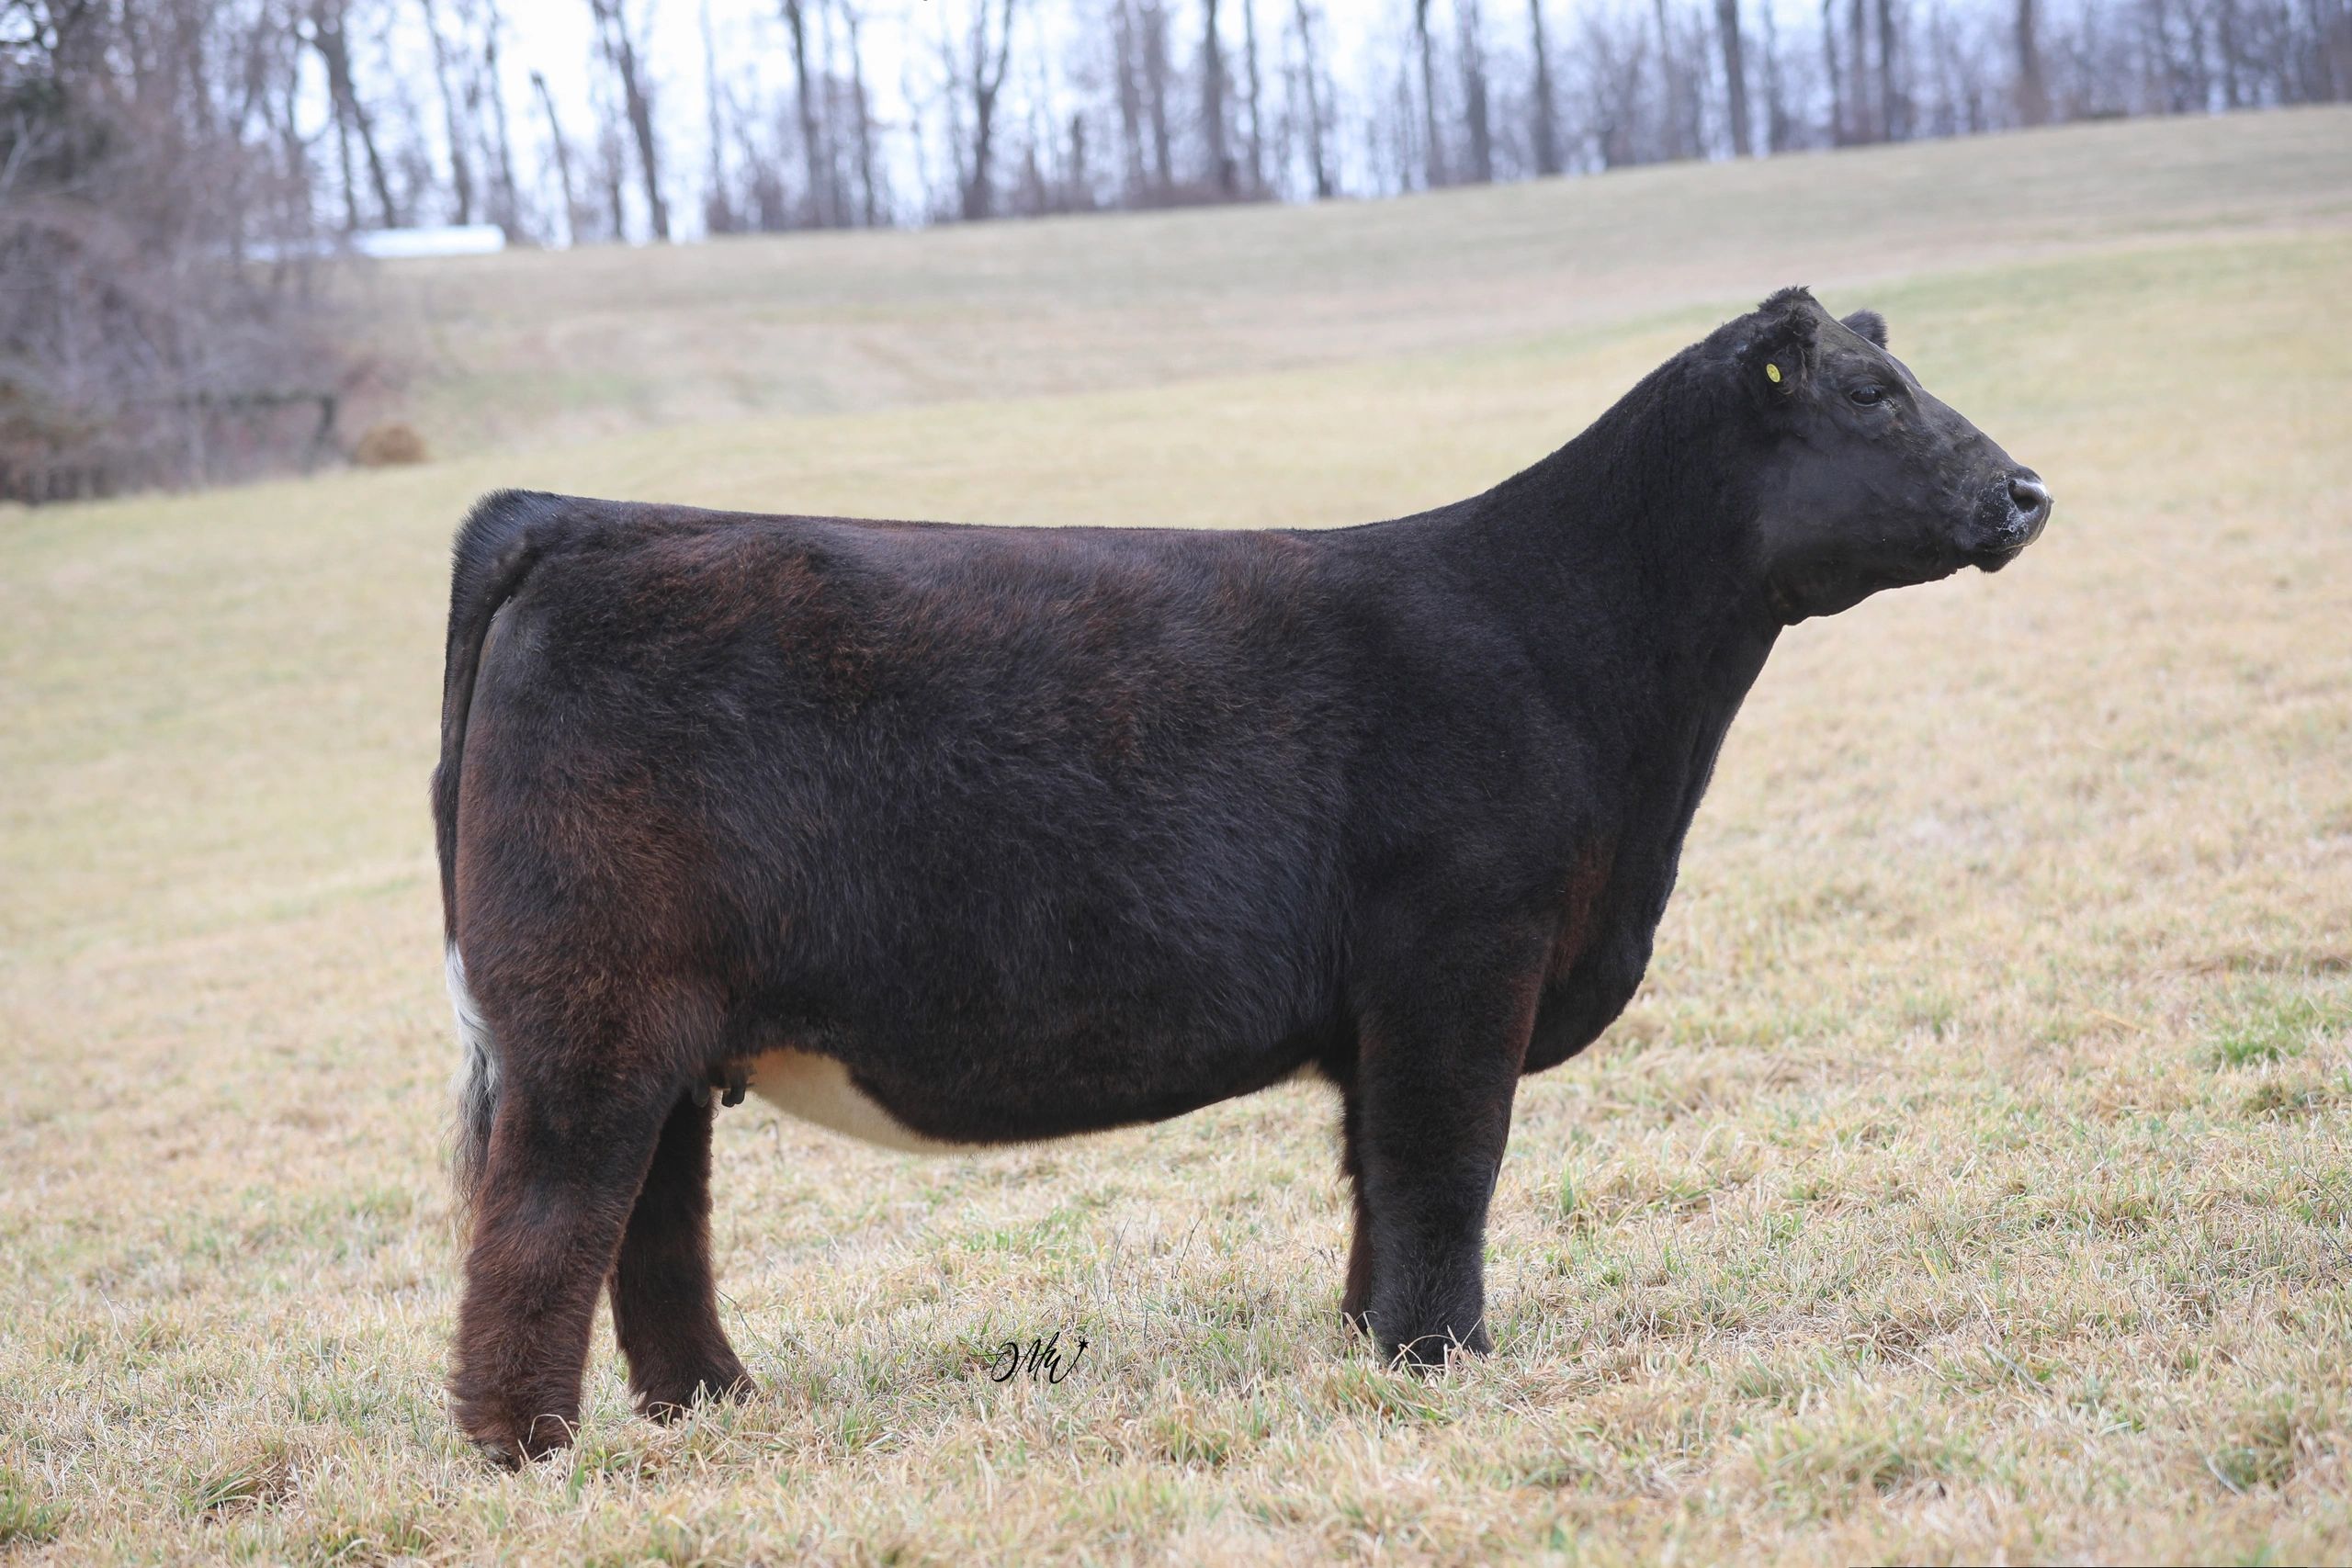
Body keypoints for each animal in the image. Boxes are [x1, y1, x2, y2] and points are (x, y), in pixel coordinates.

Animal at [434, 288, 2051, 1464]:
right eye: (1869, 395)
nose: (2027, 489)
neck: (1572, 648)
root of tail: (578, 516)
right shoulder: (1463, 955)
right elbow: (1447, 1161)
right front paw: (1443, 1355)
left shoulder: (1399, 1004)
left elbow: (1382, 1177)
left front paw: (1375, 1338)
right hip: (590, 1018)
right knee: (546, 1222)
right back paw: (529, 1450)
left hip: (660, 1031)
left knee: (655, 1218)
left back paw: (713, 1402)